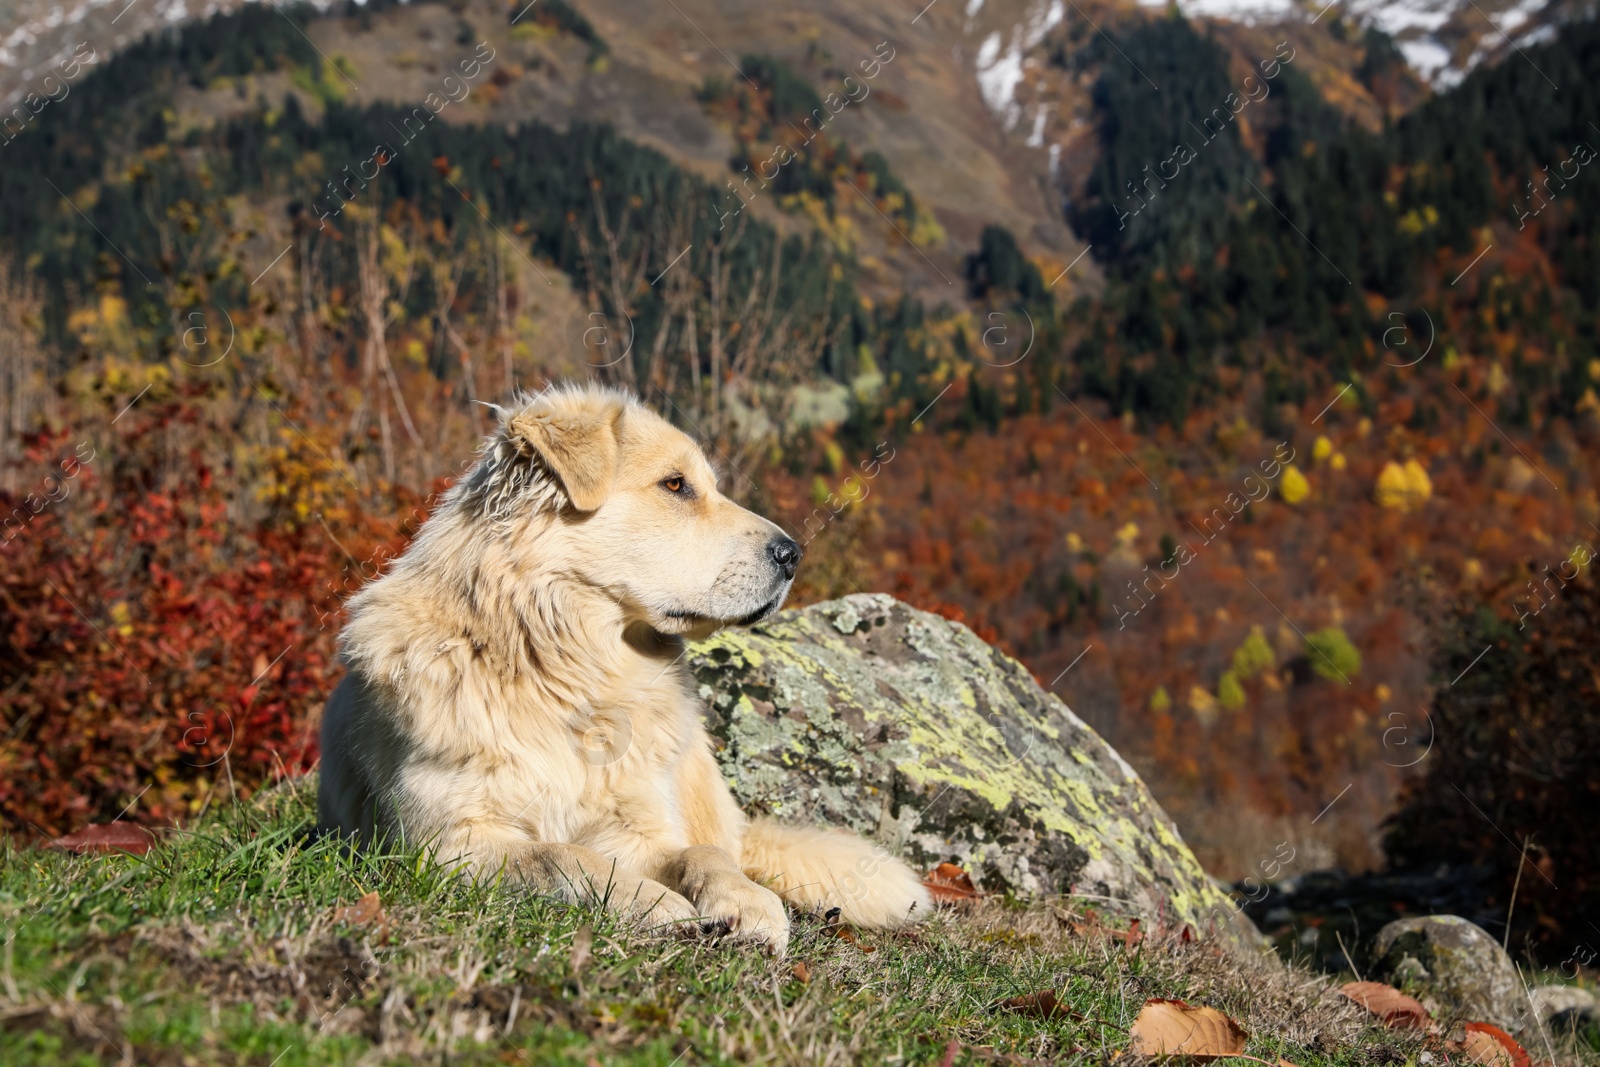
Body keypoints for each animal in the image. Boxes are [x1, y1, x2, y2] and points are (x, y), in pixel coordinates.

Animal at [316, 383, 934, 953]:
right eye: (675, 485)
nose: (793, 555)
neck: (569, 674)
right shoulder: (446, 841)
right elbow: (562, 856)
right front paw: (653, 902)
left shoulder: (639, 827)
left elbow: (700, 855)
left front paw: (746, 904)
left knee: (724, 843)